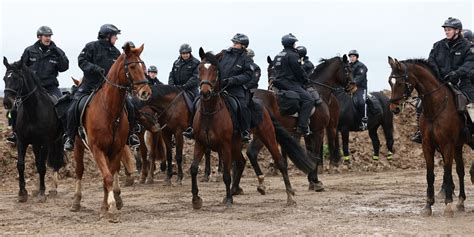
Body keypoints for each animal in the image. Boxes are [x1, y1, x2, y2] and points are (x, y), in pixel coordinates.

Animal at [2, 57, 65, 202]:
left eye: (17, 78)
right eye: (4, 78)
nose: (7, 103)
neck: (32, 110)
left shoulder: (45, 142)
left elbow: (42, 167)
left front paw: (42, 192)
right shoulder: (21, 141)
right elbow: (21, 165)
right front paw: (22, 193)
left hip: (55, 141)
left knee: (55, 162)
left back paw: (52, 188)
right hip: (35, 144)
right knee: (38, 162)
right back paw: (37, 189)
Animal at [69, 42, 151, 220]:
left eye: (144, 67)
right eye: (132, 66)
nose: (146, 92)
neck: (110, 111)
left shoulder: (116, 149)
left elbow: (111, 175)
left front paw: (108, 205)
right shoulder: (97, 149)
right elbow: (107, 177)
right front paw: (110, 207)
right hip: (78, 146)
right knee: (79, 171)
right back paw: (76, 201)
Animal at [191, 48, 316, 209]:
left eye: (215, 70)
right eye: (200, 68)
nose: (205, 92)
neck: (210, 112)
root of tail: (263, 106)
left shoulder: (224, 145)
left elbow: (226, 174)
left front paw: (229, 200)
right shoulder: (200, 143)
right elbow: (194, 169)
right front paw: (196, 199)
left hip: (267, 136)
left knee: (281, 162)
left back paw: (290, 196)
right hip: (236, 144)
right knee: (242, 162)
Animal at [250, 55, 354, 191]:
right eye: (347, 70)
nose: (353, 85)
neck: (319, 92)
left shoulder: (308, 133)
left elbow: (310, 153)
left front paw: (311, 181)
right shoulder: (318, 131)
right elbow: (315, 155)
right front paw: (316, 181)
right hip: (264, 133)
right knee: (252, 153)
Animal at [388, 57, 466, 217]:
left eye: (400, 83)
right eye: (390, 82)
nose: (394, 108)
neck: (435, 107)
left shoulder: (447, 145)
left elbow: (447, 173)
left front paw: (448, 205)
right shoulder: (427, 145)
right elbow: (430, 175)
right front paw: (428, 205)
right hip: (457, 147)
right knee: (460, 170)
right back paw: (460, 201)